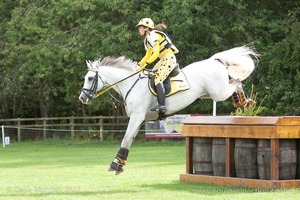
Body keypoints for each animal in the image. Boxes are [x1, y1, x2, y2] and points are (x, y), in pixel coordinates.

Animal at [79, 45, 258, 175]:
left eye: (90, 78)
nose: (82, 98)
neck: (131, 84)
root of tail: (214, 60)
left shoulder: (137, 117)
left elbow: (125, 139)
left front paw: (115, 165)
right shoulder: (140, 119)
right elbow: (129, 140)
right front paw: (120, 165)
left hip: (218, 93)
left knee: (237, 81)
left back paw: (244, 102)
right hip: (208, 94)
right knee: (235, 82)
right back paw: (243, 103)